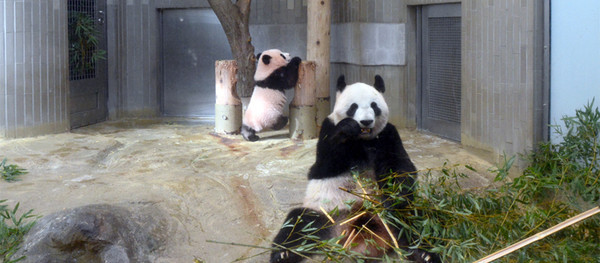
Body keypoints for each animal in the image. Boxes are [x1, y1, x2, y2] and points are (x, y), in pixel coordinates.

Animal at [270, 75, 438, 262]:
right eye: (353, 107)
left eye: (374, 105)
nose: (366, 121)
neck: (362, 139)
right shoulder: (328, 129)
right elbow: (323, 166)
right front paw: (347, 128)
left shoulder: (388, 135)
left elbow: (401, 167)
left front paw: (396, 193)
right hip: (324, 215)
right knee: (298, 223)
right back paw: (282, 254)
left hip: (396, 217)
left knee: (414, 220)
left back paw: (424, 253)